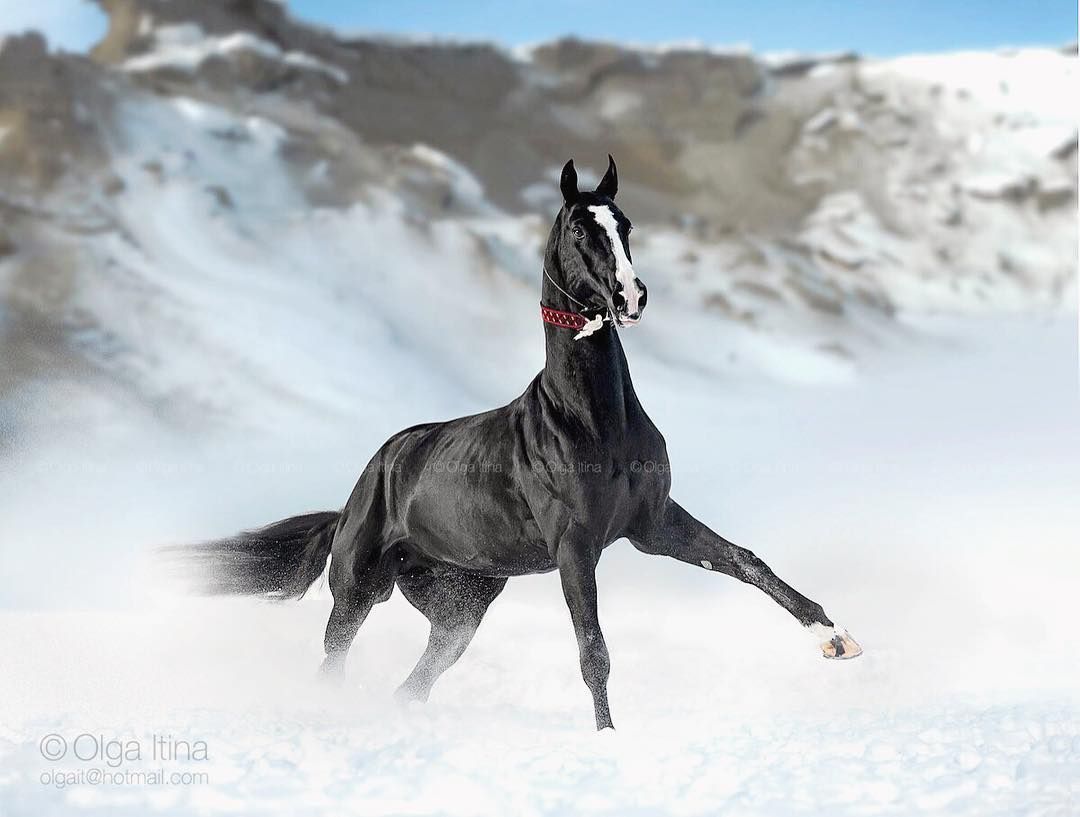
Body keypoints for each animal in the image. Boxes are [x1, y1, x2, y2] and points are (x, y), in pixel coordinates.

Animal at [181, 156, 864, 730]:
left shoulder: (652, 525)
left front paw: (835, 639)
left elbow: (745, 561)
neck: (595, 423)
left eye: (625, 224)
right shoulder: (575, 547)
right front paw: (608, 738)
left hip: (461, 605)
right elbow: (593, 649)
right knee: (333, 661)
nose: (631, 296)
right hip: (358, 589)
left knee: (417, 680)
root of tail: (360, 491)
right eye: (582, 231)